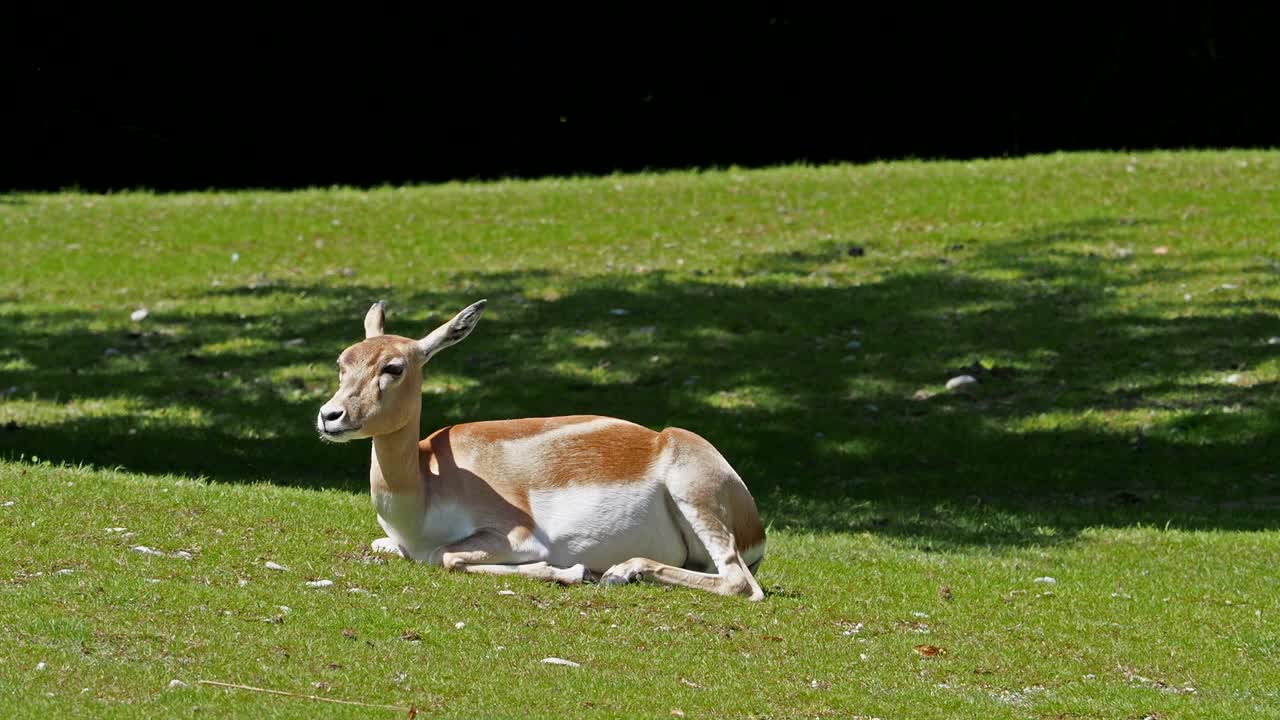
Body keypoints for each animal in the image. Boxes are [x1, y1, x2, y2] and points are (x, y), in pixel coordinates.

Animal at [314, 298, 762, 599]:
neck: (423, 487)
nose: (330, 416)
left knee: (741, 583)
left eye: (393, 367)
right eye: (342, 362)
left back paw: (618, 571)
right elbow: (389, 547)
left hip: (695, 497)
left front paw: (570, 571)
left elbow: (448, 557)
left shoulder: (517, 536)